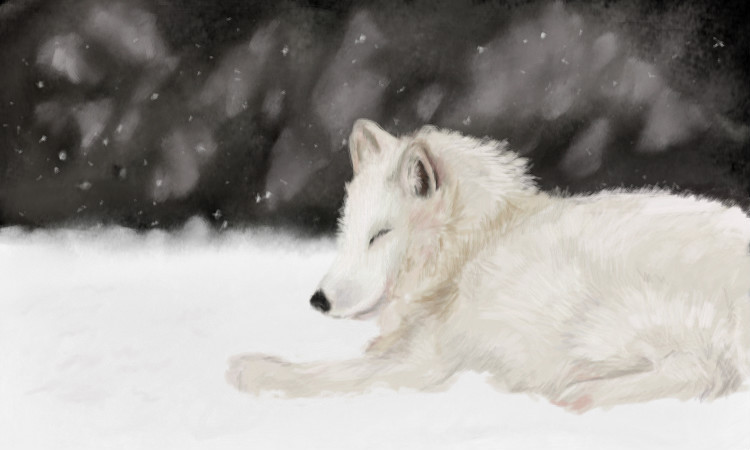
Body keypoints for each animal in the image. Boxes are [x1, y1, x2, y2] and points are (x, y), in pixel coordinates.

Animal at [227, 119, 750, 412]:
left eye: (380, 234)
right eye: (349, 231)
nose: (318, 301)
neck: (469, 249)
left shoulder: (425, 366)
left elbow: (317, 375)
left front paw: (250, 372)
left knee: (703, 375)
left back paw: (575, 395)